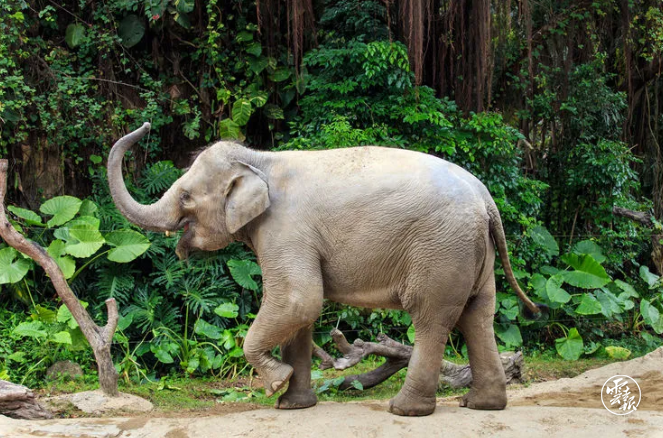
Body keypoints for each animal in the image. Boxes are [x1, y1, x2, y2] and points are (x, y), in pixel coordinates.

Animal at [107, 122, 542, 416]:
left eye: (185, 196)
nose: (146, 127)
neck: (261, 158)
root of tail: (486, 199)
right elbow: (301, 314)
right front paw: (291, 405)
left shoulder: (285, 230)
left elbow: (299, 300)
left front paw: (276, 384)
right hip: (472, 251)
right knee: (478, 315)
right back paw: (479, 404)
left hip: (441, 250)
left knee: (432, 319)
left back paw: (404, 409)